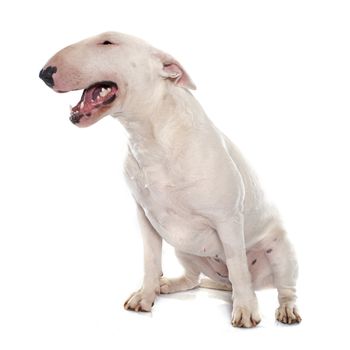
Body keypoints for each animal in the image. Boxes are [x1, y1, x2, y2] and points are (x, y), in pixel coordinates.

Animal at [39, 30, 300, 328]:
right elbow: (151, 259)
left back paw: (284, 309)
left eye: (108, 42)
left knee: (279, 285)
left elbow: (237, 264)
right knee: (193, 279)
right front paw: (145, 296)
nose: (45, 73)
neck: (150, 134)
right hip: (186, 250)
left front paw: (245, 310)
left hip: (282, 251)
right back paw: (167, 285)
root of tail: (223, 284)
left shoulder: (228, 218)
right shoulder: (145, 216)